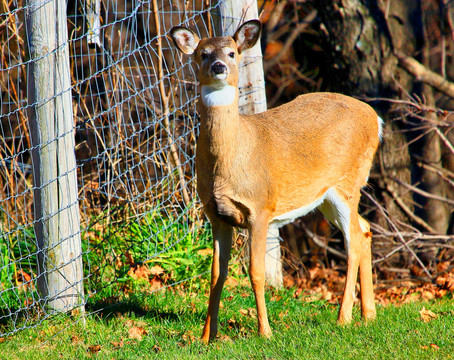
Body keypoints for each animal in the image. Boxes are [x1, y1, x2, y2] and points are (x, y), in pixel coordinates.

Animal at [171, 21, 384, 342]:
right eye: (203, 53)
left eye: (232, 53)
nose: (219, 66)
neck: (231, 161)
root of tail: (376, 118)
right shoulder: (215, 214)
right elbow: (216, 274)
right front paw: (207, 336)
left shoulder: (260, 207)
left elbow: (256, 272)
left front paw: (265, 332)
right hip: (326, 195)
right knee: (366, 227)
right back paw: (368, 314)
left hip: (347, 182)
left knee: (354, 240)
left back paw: (343, 317)